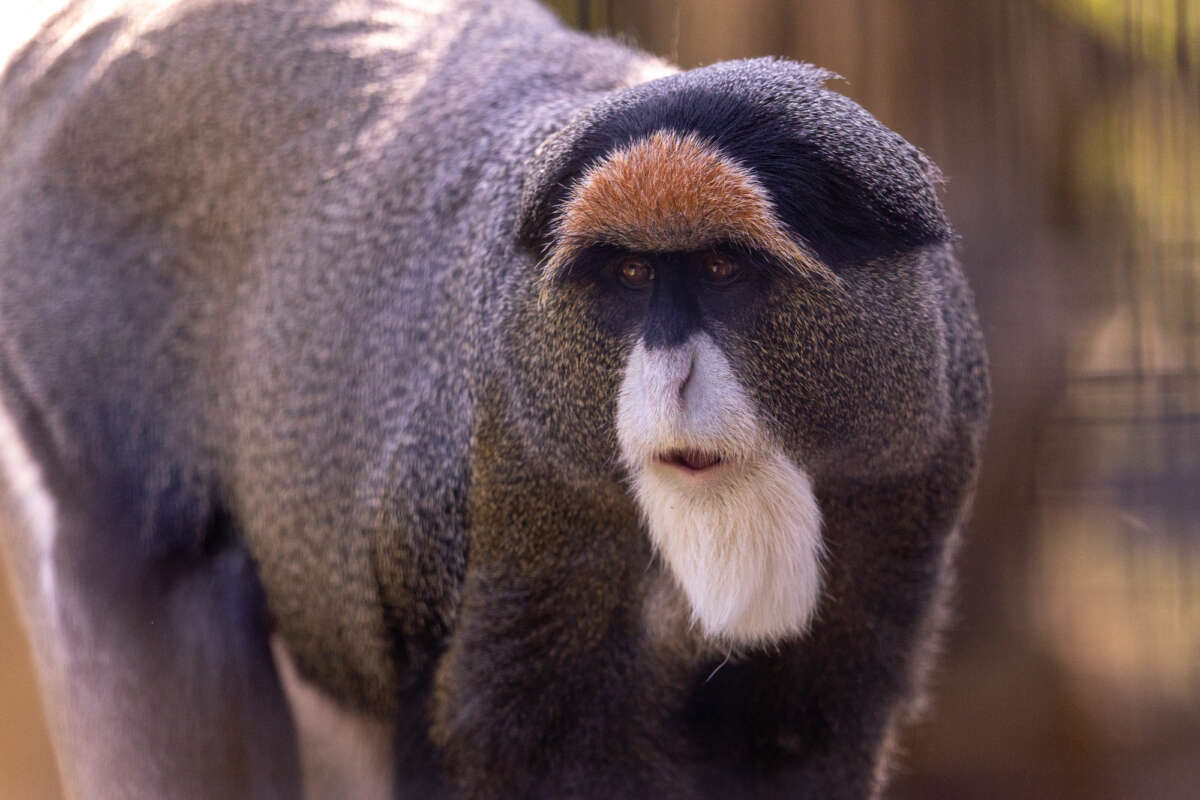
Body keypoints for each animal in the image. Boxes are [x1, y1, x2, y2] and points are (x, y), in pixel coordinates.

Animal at [0, 1, 989, 798]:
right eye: (631, 275)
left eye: (721, 268)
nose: (669, 372)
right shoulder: (521, 490)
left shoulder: (920, 470)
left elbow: (806, 741)